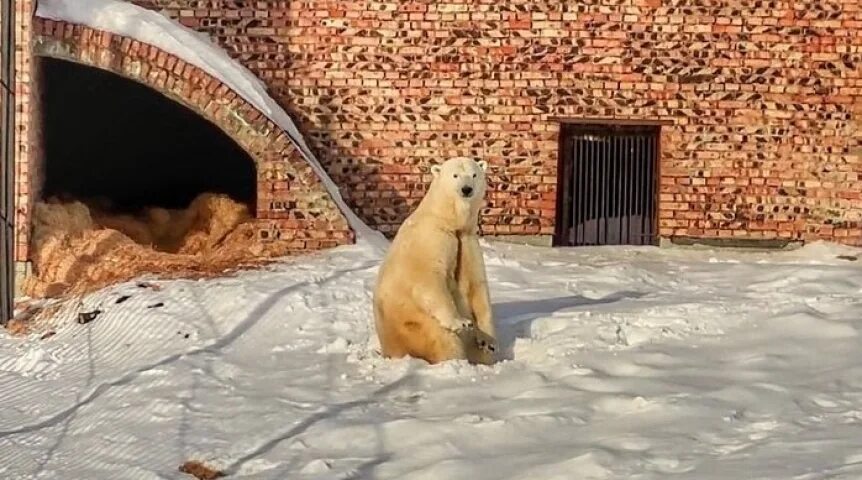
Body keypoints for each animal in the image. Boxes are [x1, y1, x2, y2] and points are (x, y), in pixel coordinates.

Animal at [372, 157, 500, 364]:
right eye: (455, 175)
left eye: (474, 174)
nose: (466, 189)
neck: (448, 221)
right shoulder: (432, 239)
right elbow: (429, 279)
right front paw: (461, 322)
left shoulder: (467, 241)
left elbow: (476, 286)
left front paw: (488, 341)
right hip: (415, 326)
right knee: (445, 342)